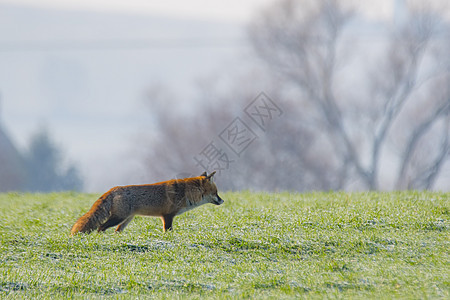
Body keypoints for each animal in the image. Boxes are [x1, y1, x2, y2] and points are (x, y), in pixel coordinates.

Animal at [70, 171, 223, 234]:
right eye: (216, 193)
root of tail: (113, 189)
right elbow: (168, 231)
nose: (222, 200)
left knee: (116, 230)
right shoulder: (167, 216)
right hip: (118, 217)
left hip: (126, 220)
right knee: (100, 227)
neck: (185, 193)